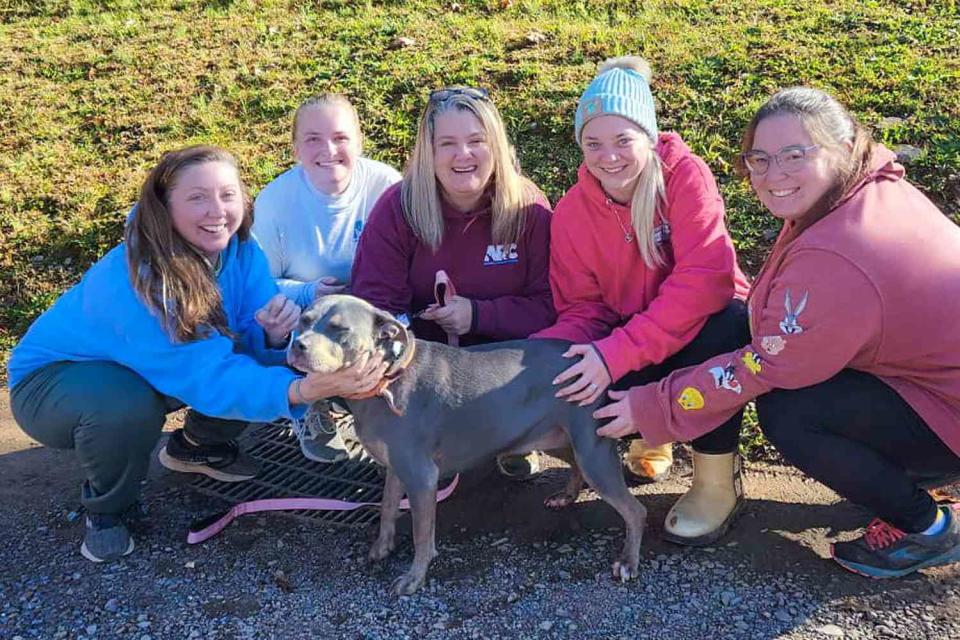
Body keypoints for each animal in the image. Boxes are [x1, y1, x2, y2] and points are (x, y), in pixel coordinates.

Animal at [284, 296, 644, 596]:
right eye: (304, 320)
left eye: (340, 329)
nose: (297, 346)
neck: (387, 381)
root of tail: (590, 357)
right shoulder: (396, 468)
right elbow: (386, 508)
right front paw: (382, 547)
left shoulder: (421, 477)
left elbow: (422, 537)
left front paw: (414, 578)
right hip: (558, 438)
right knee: (576, 467)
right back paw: (566, 496)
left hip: (591, 450)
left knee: (634, 511)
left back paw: (628, 561)